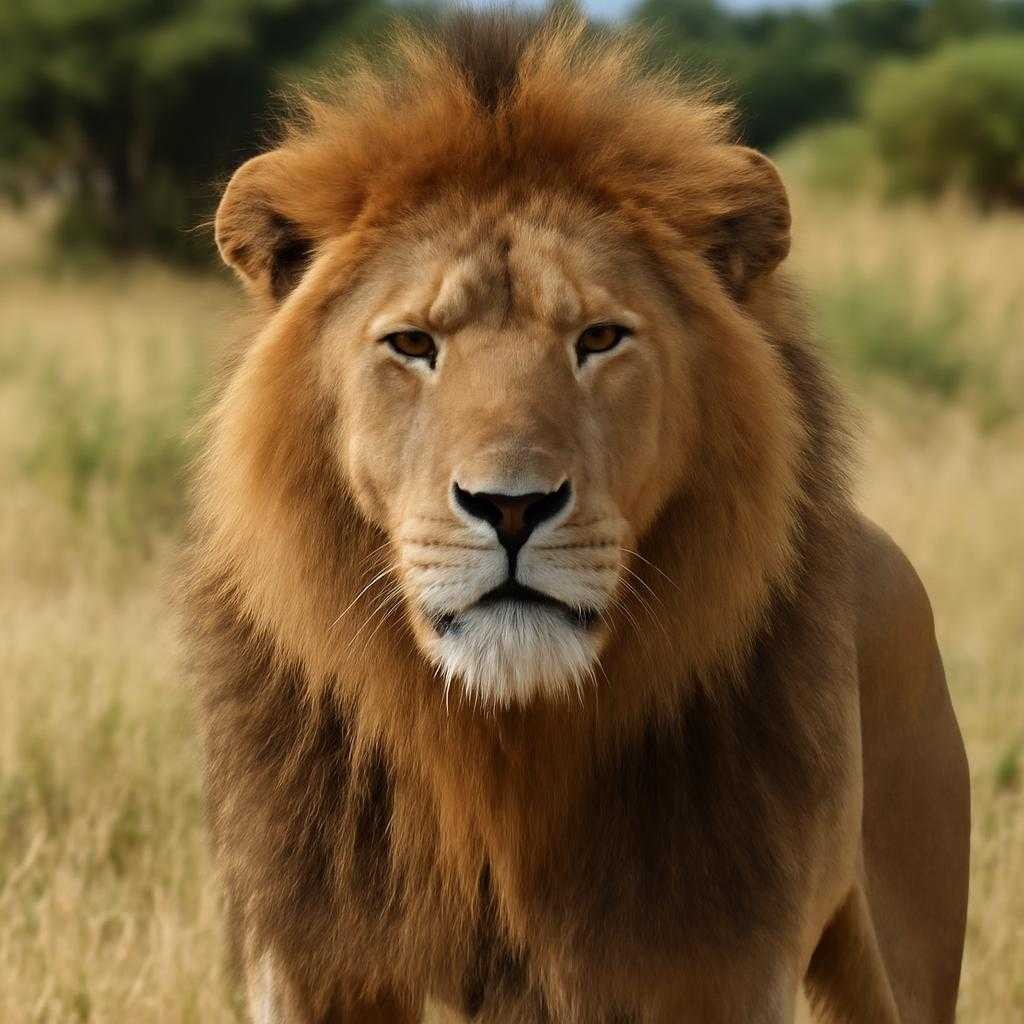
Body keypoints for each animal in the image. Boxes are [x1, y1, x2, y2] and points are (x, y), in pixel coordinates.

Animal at [184, 11, 970, 1024]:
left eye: (599, 338)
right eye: (413, 344)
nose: (511, 505)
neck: (499, 757)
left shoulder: (718, 962)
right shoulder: (314, 959)